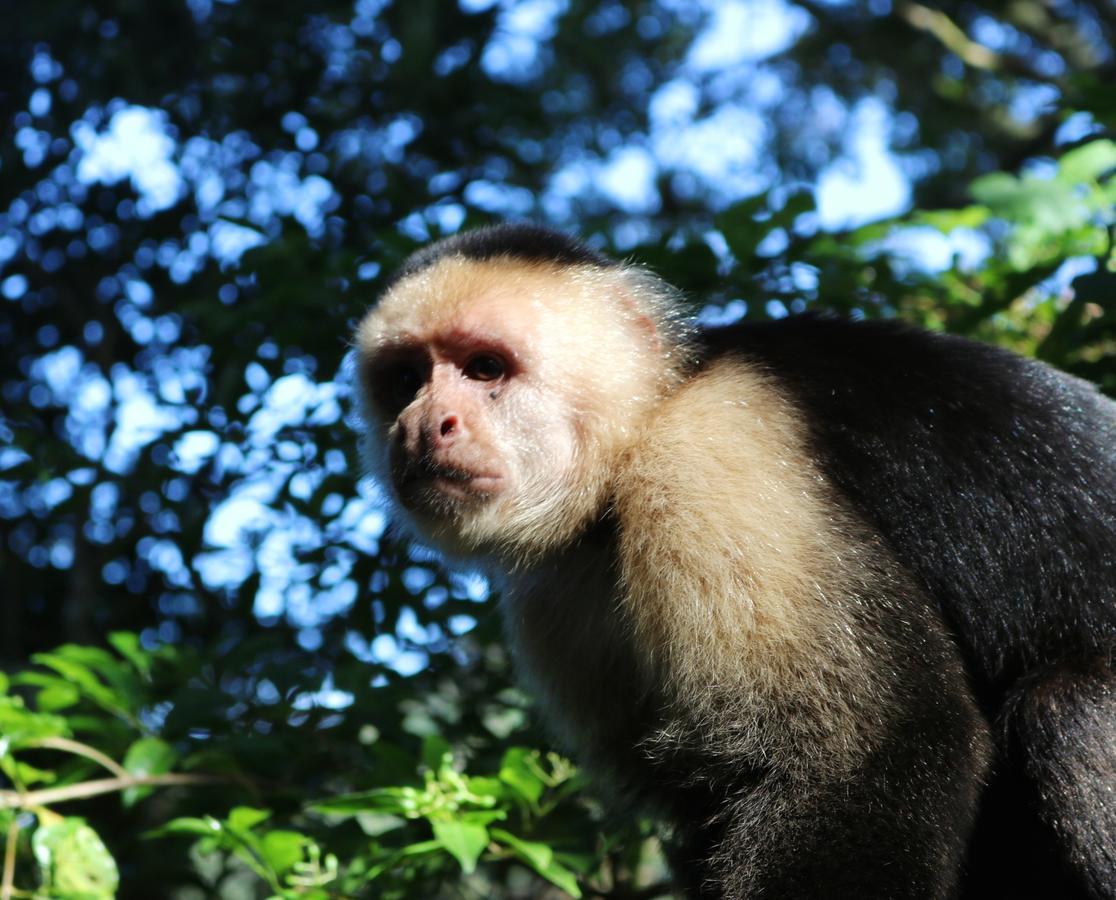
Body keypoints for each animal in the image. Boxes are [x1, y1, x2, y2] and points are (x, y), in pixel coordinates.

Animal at [354, 225, 1116, 900]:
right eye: (406, 379)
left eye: (485, 367)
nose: (422, 427)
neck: (627, 455)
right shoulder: (556, 596)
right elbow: (707, 809)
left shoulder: (710, 452)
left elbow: (863, 757)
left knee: (1069, 711)